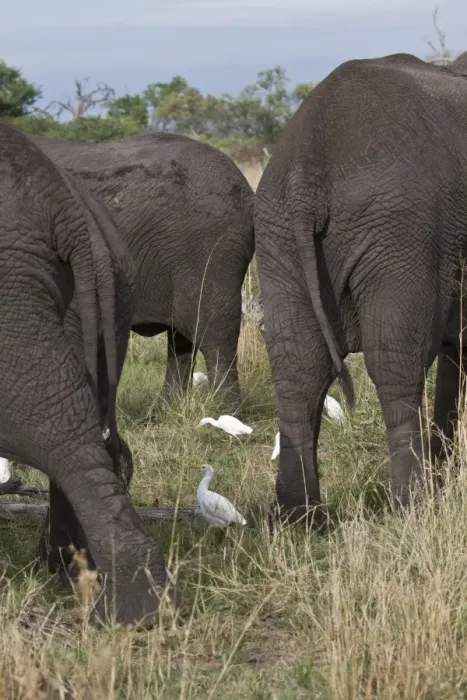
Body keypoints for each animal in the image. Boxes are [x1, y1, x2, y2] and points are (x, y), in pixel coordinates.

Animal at [30, 132, 255, 406]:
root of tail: (246, 190)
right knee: (182, 339)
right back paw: (166, 409)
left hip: (213, 249)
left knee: (214, 333)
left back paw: (226, 410)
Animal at [254, 52, 467, 523]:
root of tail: (307, 169)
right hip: (403, 233)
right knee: (395, 362)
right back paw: (414, 507)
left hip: (277, 235)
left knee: (297, 367)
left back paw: (300, 517)